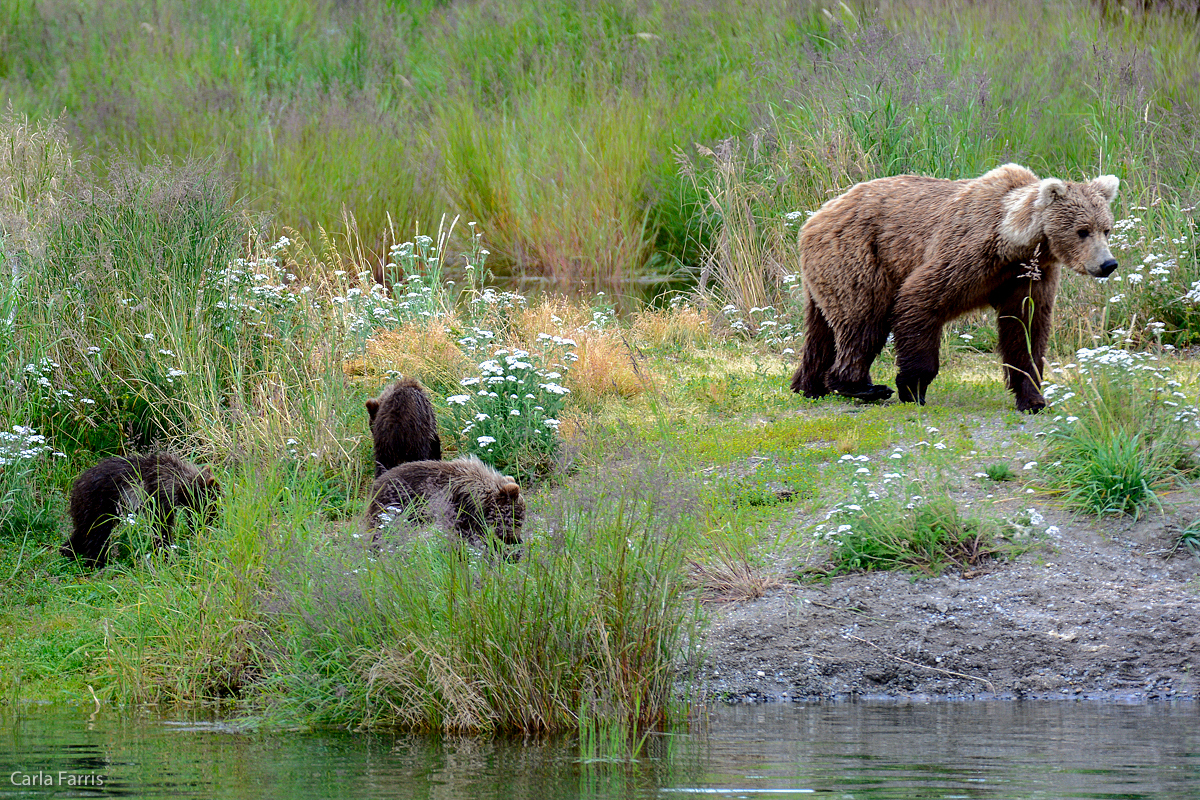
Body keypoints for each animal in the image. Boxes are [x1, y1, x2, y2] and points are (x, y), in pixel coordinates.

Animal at [792, 163, 1118, 412]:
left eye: (1106, 228)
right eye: (1082, 231)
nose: (1108, 263)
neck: (1014, 241)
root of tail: (815, 216)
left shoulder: (1028, 276)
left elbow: (1025, 330)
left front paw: (1033, 399)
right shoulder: (968, 255)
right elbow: (919, 300)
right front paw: (912, 387)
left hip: (825, 274)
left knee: (820, 331)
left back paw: (808, 385)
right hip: (859, 256)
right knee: (863, 321)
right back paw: (862, 386)